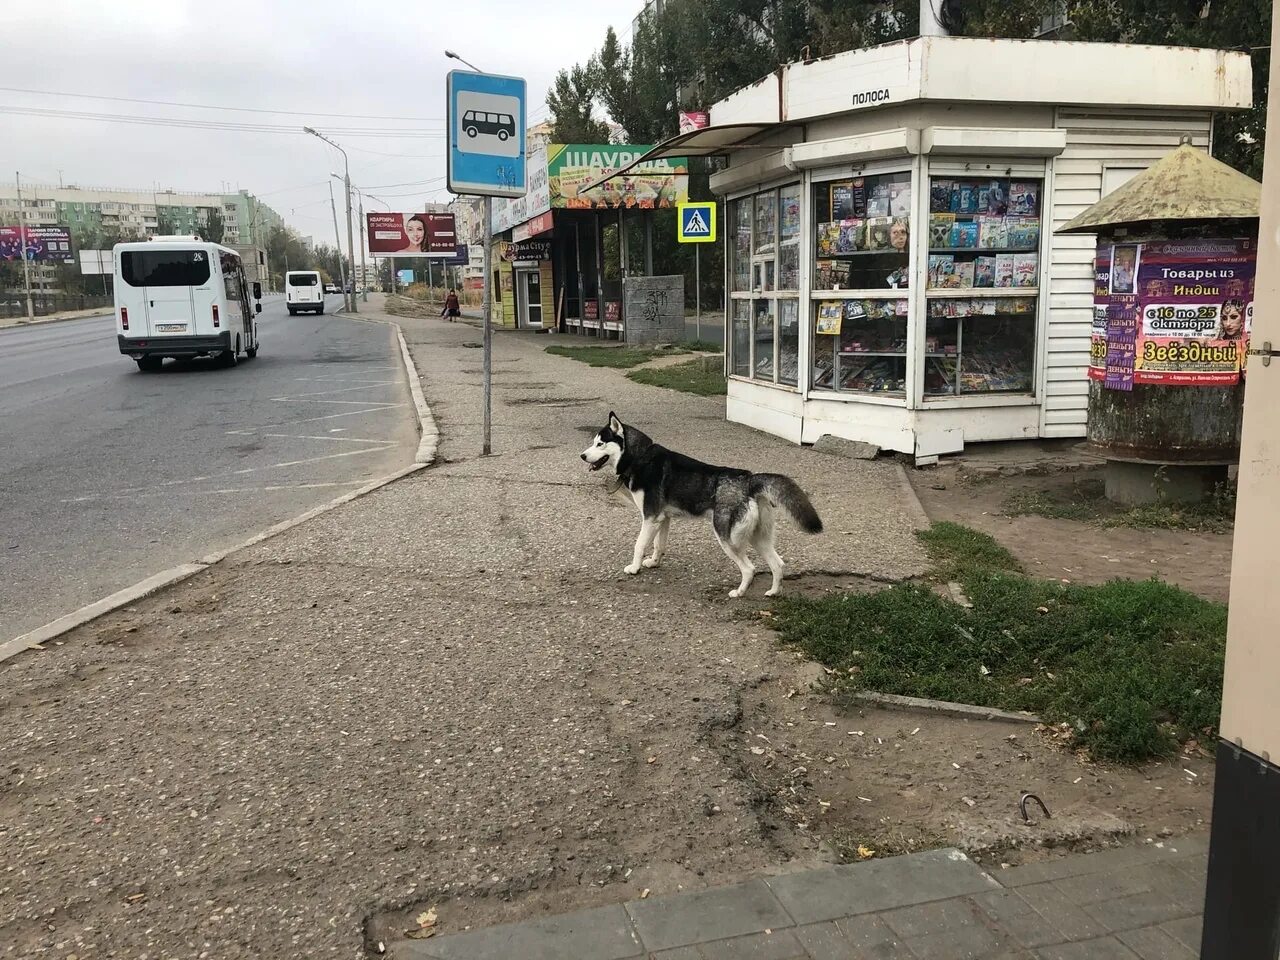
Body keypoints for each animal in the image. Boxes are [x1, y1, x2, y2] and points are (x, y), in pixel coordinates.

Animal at [581, 414, 819, 601]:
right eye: (593, 442)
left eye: (600, 444)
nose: (582, 456)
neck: (639, 457)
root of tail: (749, 479)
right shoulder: (662, 518)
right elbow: (659, 545)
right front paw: (654, 563)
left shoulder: (649, 518)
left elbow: (639, 545)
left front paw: (634, 568)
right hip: (758, 537)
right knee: (778, 564)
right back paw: (773, 592)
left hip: (728, 538)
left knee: (749, 568)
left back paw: (739, 592)